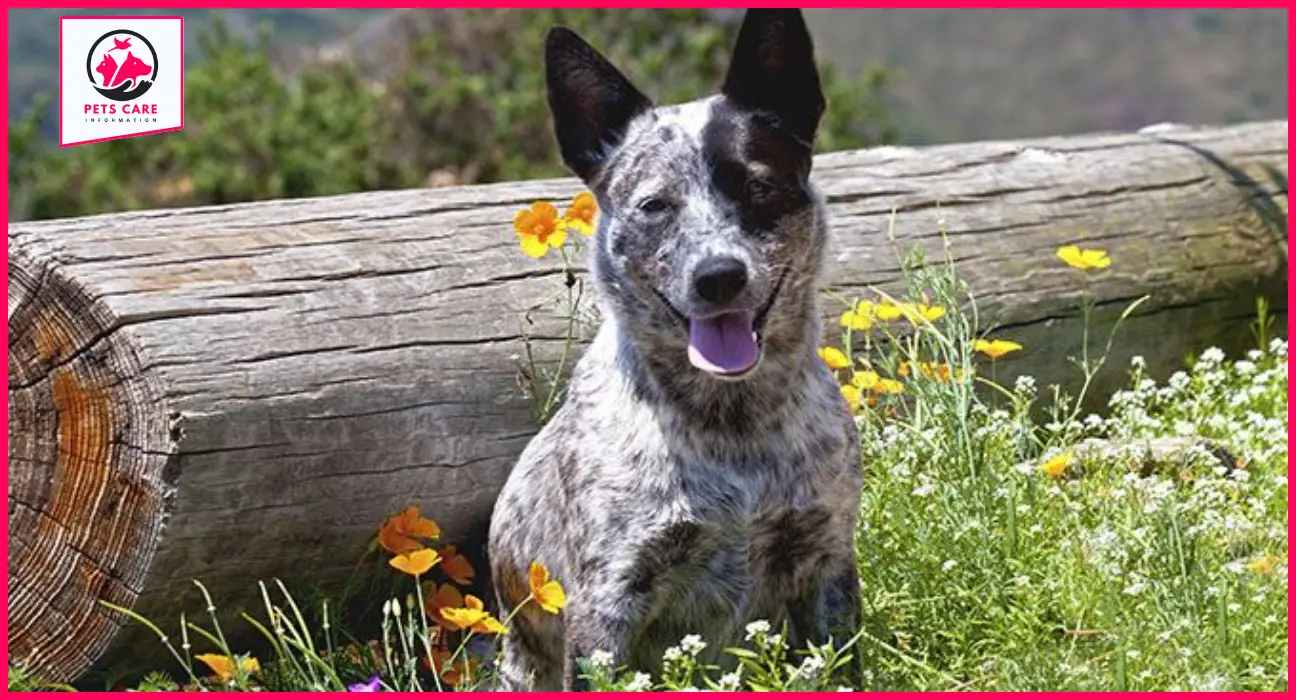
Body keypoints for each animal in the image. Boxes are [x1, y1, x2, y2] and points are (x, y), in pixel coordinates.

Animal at [487, 8, 860, 689]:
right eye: (655, 205)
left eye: (759, 188)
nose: (718, 276)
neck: (735, 428)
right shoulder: (607, 603)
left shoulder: (827, 562)